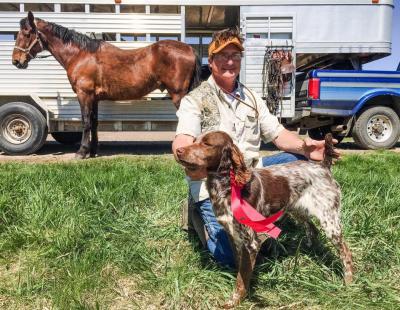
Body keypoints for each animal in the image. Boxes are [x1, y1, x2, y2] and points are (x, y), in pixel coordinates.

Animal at [12, 11, 202, 159]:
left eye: (27, 33)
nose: (16, 61)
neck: (81, 55)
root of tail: (189, 48)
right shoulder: (94, 98)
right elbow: (94, 122)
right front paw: (93, 150)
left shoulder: (84, 94)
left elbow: (86, 122)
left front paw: (81, 152)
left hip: (178, 94)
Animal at [177, 130, 352, 308]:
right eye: (194, 140)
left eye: (206, 143)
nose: (178, 150)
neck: (227, 186)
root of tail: (323, 166)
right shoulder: (233, 236)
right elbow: (241, 268)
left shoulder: (251, 242)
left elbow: (241, 278)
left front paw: (235, 300)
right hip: (298, 210)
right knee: (313, 230)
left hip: (330, 221)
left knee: (346, 252)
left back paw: (348, 283)